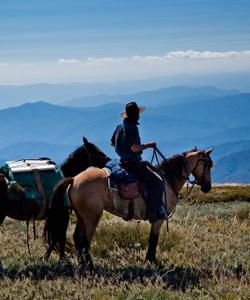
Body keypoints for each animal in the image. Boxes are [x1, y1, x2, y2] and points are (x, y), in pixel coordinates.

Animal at [45, 146, 213, 268]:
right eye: (208, 165)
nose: (207, 187)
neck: (168, 179)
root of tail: (74, 179)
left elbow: (152, 239)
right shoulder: (158, 219)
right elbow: (154, 239)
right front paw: (151, 261)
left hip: (82, 217)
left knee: (77, 238)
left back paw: (82, 265)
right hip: (92, 218)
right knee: (85, 241)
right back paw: (91, 266)